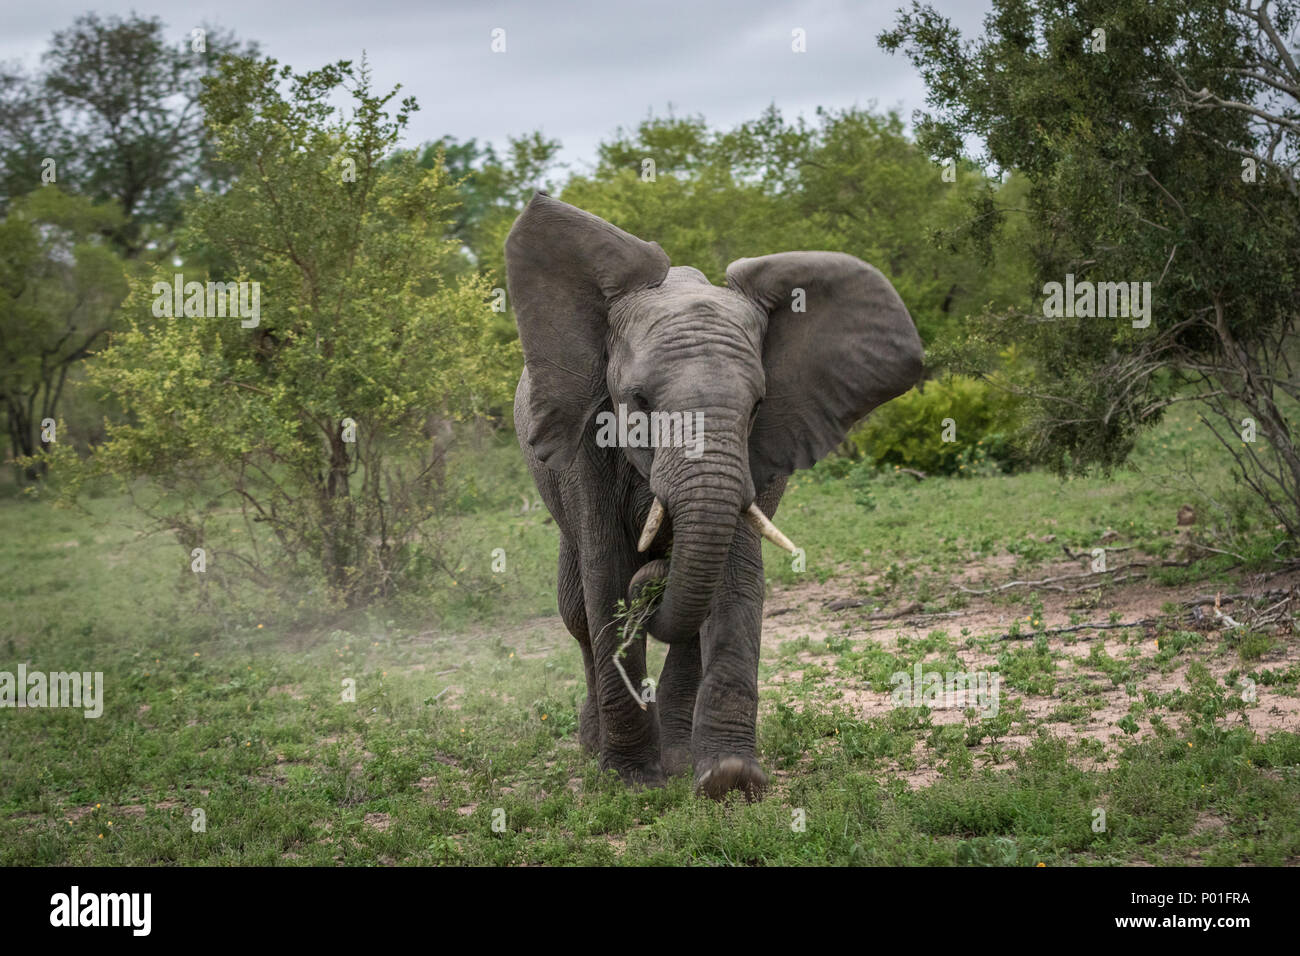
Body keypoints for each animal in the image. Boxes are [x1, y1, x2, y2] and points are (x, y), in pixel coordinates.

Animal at [507, 192, 924, 799]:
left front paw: (729, 780)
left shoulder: (761, 458)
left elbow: (736, 579)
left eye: (756, 407)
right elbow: (606, 577)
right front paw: (630, 782)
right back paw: (595, 745)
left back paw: (680, 756)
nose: (656, 575)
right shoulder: (588, 446)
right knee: (576, 612)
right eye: (638, 402)